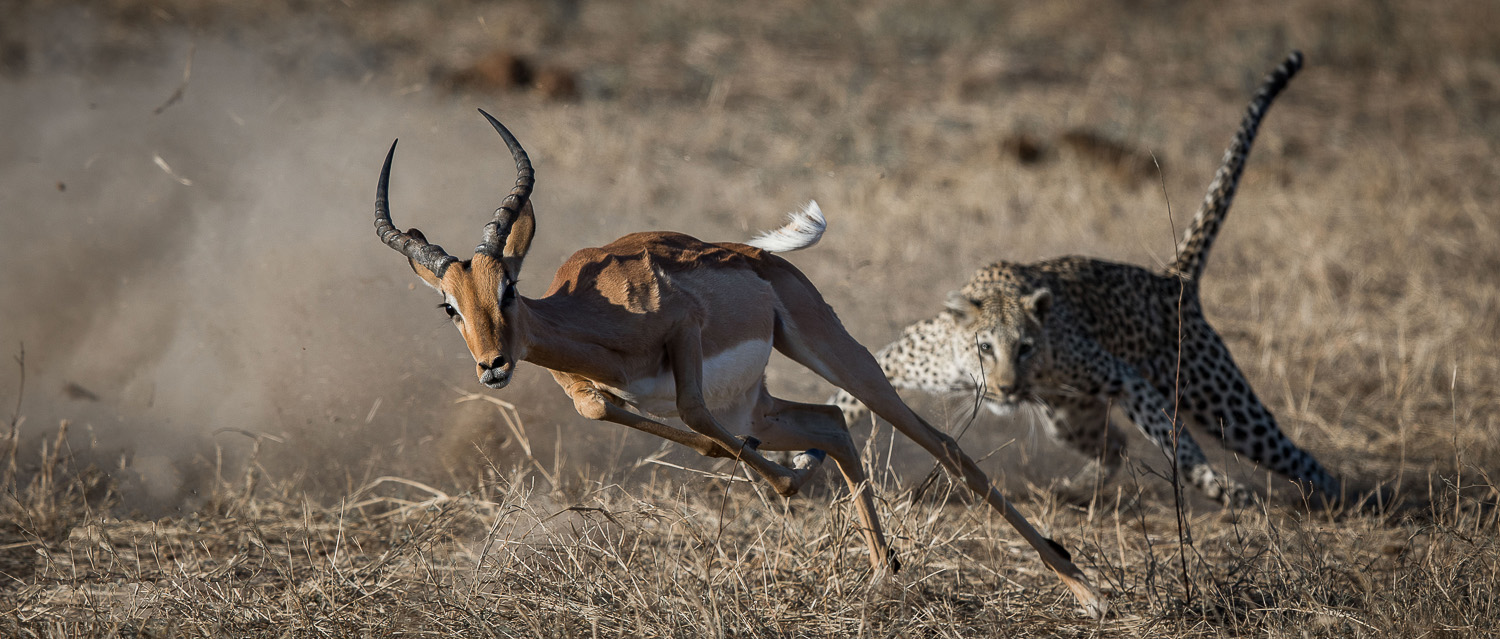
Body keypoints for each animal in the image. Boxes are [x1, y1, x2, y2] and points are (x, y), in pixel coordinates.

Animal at [834, 49, 1338, 507]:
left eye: (1025, 348)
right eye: (985, 348)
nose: (1006, 389)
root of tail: (1171, 279)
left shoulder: (1122, 376)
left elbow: (1174, 439)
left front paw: (1213, 483)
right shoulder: (901, 358)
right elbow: (847, 394)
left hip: (1221, 402)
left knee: (1294, 455)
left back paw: (1332, 499)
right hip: (1070, 417)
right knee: (1114, 445)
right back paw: (1071, 491)